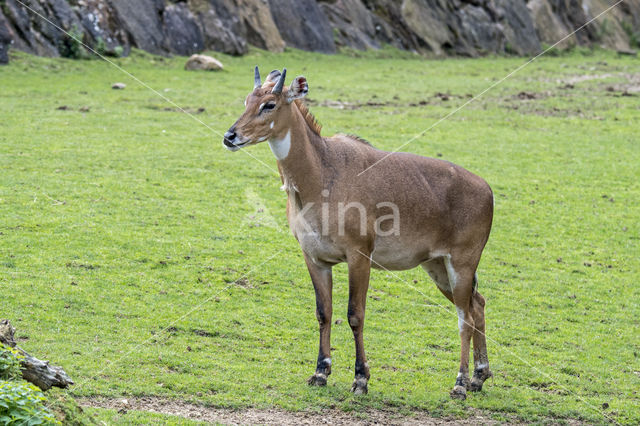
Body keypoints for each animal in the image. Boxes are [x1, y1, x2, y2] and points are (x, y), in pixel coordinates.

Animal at [222, 67, 492, 400]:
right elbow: (324, 312)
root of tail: (487, 190)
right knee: (477, 304)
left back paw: (460, 384)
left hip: (461, 263)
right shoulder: (315, 257)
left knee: (464, 317)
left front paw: (361, 379)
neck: (322, 175)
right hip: (437, 267)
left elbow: (355, 314)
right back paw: (479, 377)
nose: (230, 136)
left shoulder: (359, 255)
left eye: (269, 104)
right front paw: (320, 372)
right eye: (247, 100)